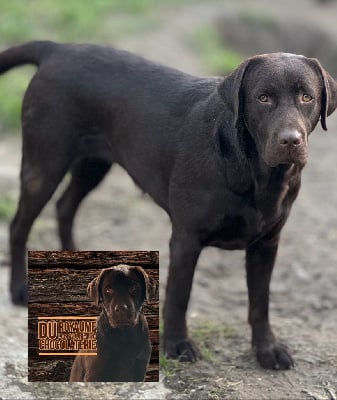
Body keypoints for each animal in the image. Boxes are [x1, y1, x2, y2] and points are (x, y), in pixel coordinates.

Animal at [0, 40, 336, 368]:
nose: (290, 140)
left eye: (307, 97)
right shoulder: (186, 239)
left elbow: (260, 303)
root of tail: (58, 49)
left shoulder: (266, 245)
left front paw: (267, 350)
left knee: (65, 207)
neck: (258, 174)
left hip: (93, 165)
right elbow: (178, 296)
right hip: (45, 165)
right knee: (19, 225)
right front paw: (177, 344)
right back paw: (19, 289)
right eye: (263, 98)